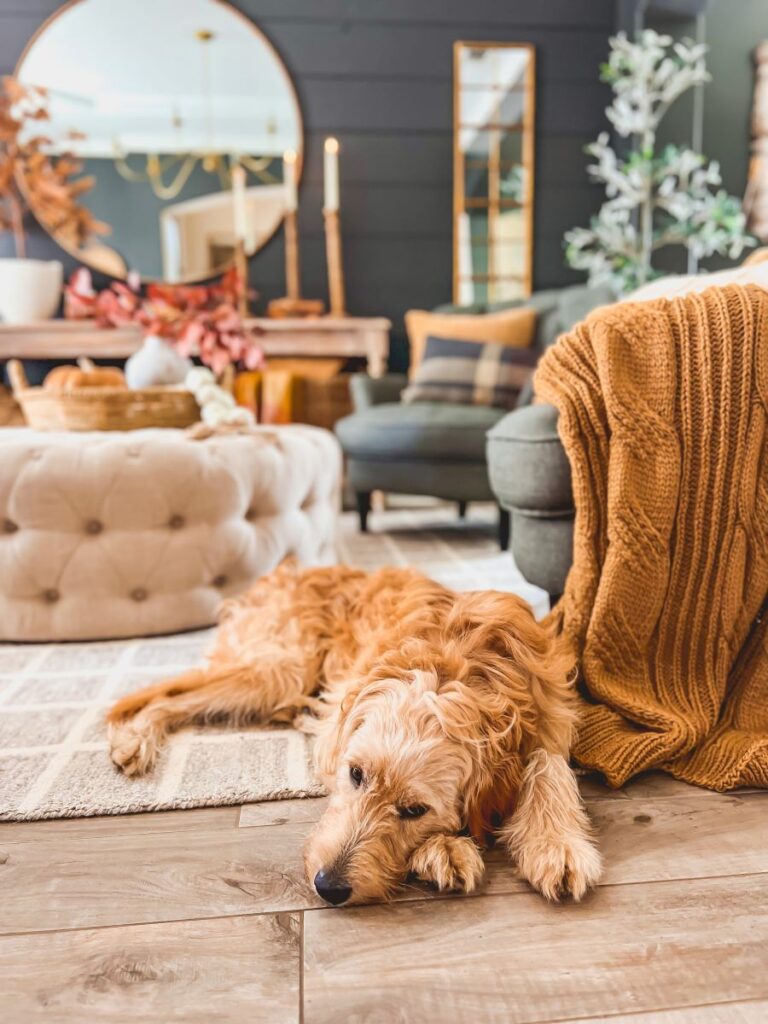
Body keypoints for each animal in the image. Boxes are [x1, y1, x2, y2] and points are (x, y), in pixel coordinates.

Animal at [108, 565, 606, 909]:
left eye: (415, 810)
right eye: (355, 774)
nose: (328, 887)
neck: (459, 664)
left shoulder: (549, 715)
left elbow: (548, 764)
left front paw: (556, 842)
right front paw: (445, 848)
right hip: (279, 670)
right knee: (168, 696)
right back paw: (134, 739)